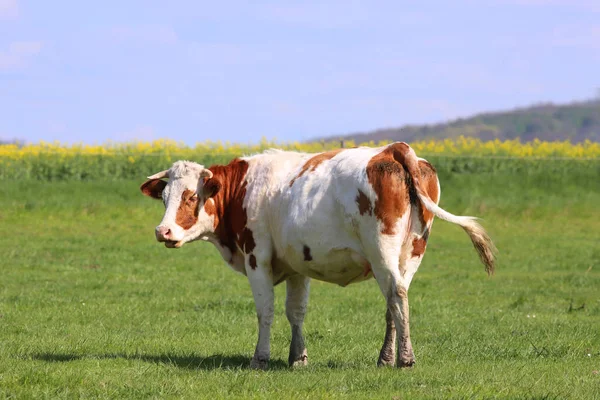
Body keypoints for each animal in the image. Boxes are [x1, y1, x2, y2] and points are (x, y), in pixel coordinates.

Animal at [141, 142, 496, 370]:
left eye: (190, 197)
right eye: (165, 197)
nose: (163, 231)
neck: (244, 188)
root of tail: (392, 149)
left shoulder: (258, 257)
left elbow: (266, 311)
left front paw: (260, 358)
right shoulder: (296, 263)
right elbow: (295, 311)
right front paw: (298, 358)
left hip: (382, 250)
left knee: (395, 294)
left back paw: (405, 360)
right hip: (411, 253)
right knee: (396, 302)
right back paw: (385, 358)